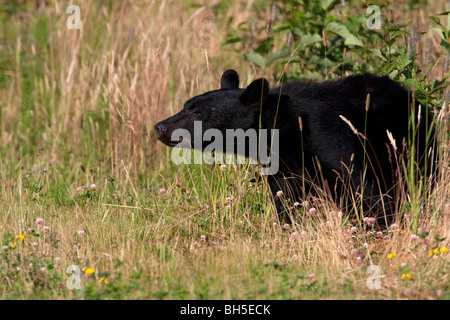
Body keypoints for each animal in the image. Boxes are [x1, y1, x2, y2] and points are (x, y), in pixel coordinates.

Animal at [156, 69, 436, 226]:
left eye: (198, 112)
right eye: (186, 105)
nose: (160, 126)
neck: (284, 132)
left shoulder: (331, 140)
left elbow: (364, 192)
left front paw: (384, 226)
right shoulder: (283, 167)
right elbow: (286, 201)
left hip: (412, 145)